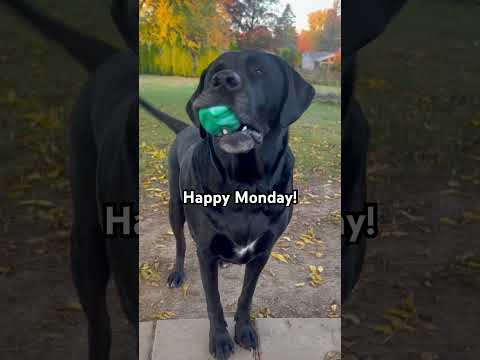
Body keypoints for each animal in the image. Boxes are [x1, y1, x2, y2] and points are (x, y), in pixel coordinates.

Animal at [142, 49, 316, 358]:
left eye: (259, 71)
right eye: (214, 72)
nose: (222, 80)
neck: (246, 184)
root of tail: (185, 129)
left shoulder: (263, 252)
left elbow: (246, 295)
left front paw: (244, 330)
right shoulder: (206, 252)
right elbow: (214, 302)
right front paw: (221, 339)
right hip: (175, 208)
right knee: (180, 243)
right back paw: (177, 273)